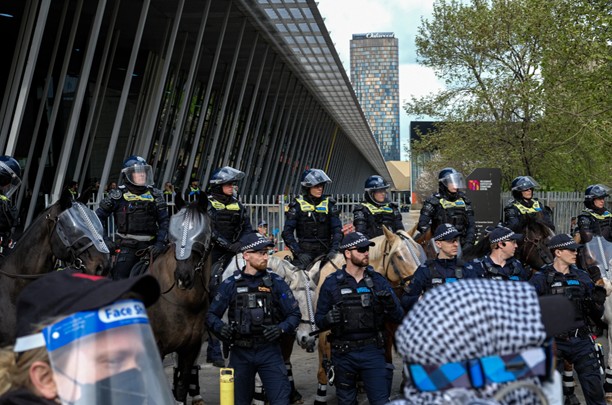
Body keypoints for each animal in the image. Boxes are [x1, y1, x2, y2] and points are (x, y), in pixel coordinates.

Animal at [145, 194, 212, 402]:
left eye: (201, 234)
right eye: (173, 235)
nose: (183, 276)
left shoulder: (190, 349)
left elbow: (182, 387)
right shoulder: (157, 348)